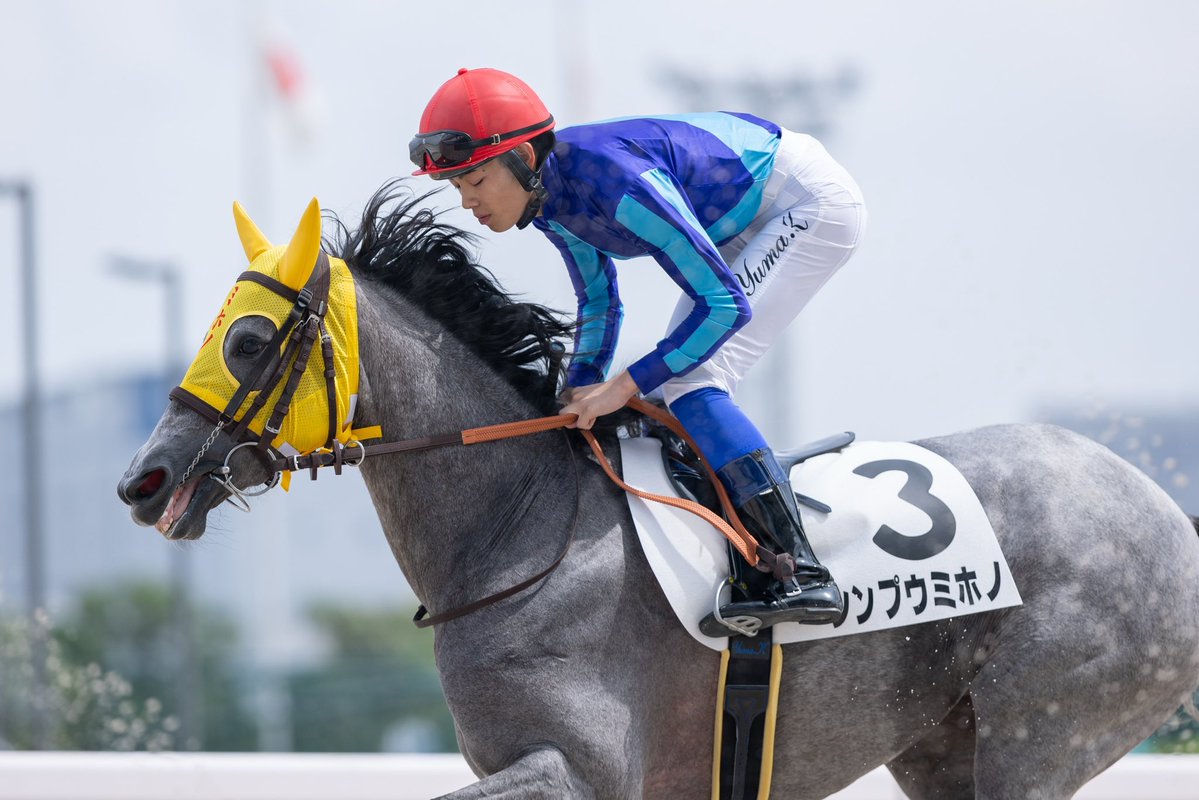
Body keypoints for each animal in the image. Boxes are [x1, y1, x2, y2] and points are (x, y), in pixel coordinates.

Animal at [118, 183, 1199, 799]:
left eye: (247, 341)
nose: (143, 479)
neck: (522, 536)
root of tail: (1163, 513)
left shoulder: (579, 768)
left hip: (1043, 724)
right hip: (941, 746)